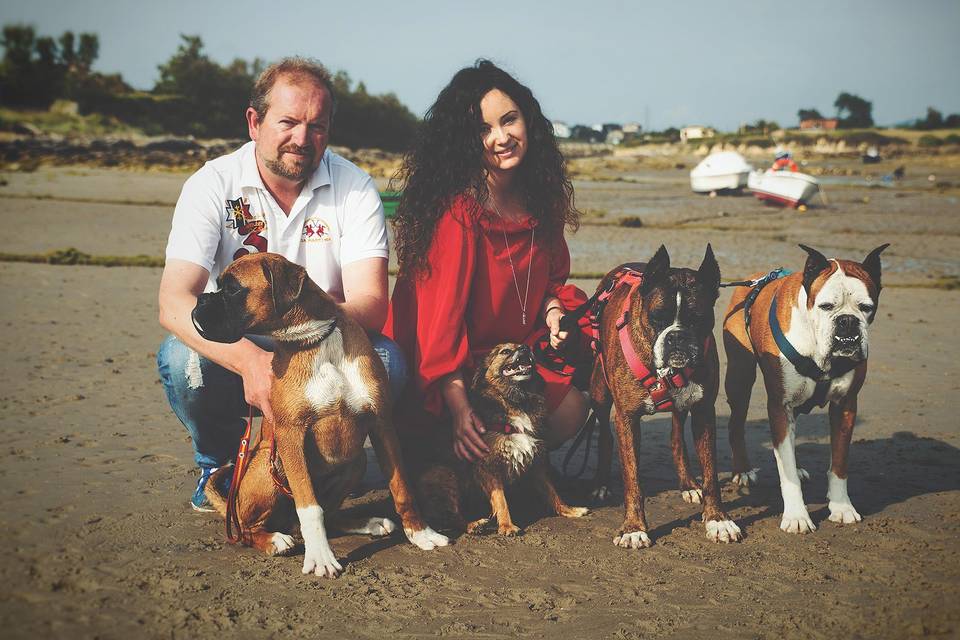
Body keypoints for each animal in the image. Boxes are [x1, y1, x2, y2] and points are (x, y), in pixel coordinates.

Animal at [193, 252, 452, 576]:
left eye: (232, 289)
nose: (200, 299)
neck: (315, 340)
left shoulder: (381, 424)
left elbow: (401, 487)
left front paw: (420, 533)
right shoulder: (290, 435)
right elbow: (309, 507)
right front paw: (320, 556)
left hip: (355, 462)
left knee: (329, 515)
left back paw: (369, 523)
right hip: (268, 466)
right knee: (244, 530)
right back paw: (273, 540)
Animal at [416, 344, 588, 536]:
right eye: (505, 351)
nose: (526, 347)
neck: (516, 400)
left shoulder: (536, 460)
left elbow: (552, 491)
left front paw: (568, 510)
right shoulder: (488, 465)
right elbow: (500, 499)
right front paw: (507, 525)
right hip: (445, 475)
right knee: (449, 515)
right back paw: (473, 524)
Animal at [584, 242, 744, 548]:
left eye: (699, 320)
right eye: (657, 318)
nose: (677, 336)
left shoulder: (704, 412)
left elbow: (711, 474)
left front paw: (717, 519)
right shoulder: (627, 418)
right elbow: (632, 479)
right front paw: (633, 528)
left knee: (676, 438)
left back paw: (688, 484)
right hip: (599, 390)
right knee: (605, 435)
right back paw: (599, 483)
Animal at [728, 242, 892, 532]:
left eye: (866, 307)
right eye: (826, 306)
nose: (847, 321)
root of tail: (754, 280)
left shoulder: (845, 406)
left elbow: (839, 463)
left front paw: (841, 507)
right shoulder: (779, 406)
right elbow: (787, 473)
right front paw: (796, 516)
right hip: (740, 379)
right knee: (736, 424)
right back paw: (743, 470)